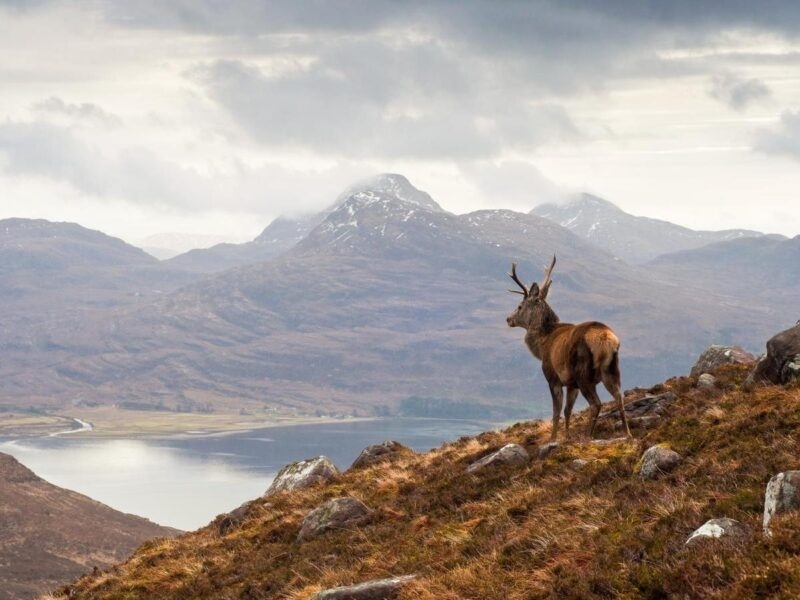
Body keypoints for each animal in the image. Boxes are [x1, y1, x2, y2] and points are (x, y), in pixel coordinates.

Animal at [506, 256, 631, 441]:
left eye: (520, 306)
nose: (508, 319)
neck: (541, 346)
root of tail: (606, 339)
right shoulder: (572, 384)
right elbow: (567, 410)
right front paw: (567, 436)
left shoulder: (553, 377)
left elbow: (556, 411)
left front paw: (553, 438)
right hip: (612, 369)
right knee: (619, 397)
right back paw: (627, 433)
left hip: (583, 372)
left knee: (596, 403)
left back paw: (587, 436)